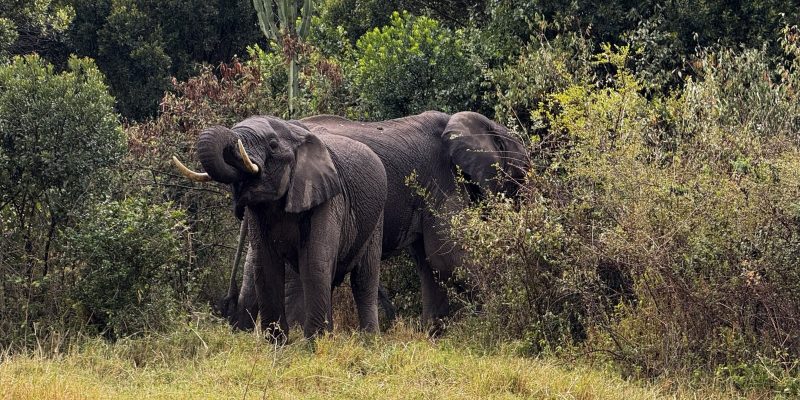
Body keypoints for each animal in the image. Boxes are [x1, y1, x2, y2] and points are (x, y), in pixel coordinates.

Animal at [174, 115, 387, 339]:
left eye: (273, 145)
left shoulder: (327, 199)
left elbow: (314, 262)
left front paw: (314, 343)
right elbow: (264, 265)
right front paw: (278, 343)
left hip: (377, 219)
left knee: (363, 280)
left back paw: (369, 340)